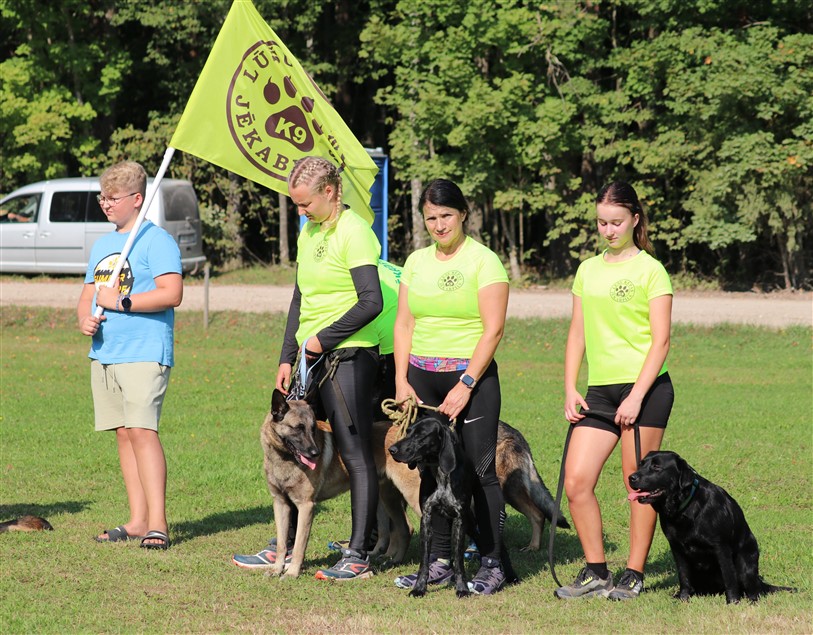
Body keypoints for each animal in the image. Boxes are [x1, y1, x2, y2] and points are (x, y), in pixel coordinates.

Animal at [388, 415, 520, 597]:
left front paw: (462, 588)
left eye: (421, 435)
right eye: (407, 432)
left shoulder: (459, 520)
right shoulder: (427, 519)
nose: (392, 449)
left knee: (497, 545)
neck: (439, 472)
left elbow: (458, 560)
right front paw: (419, 587)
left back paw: (510, 575)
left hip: (473, 520)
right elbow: (424, 561)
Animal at [629, 450, 796, 603]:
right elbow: (684, 576)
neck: (686, 508)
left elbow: (729, 577)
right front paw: (683, 598)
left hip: (745, 566)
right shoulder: (676, 548)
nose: (631, 477)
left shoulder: (721, 547)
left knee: (753, 589)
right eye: (641, 464)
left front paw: (733, 602)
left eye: (656, 467)